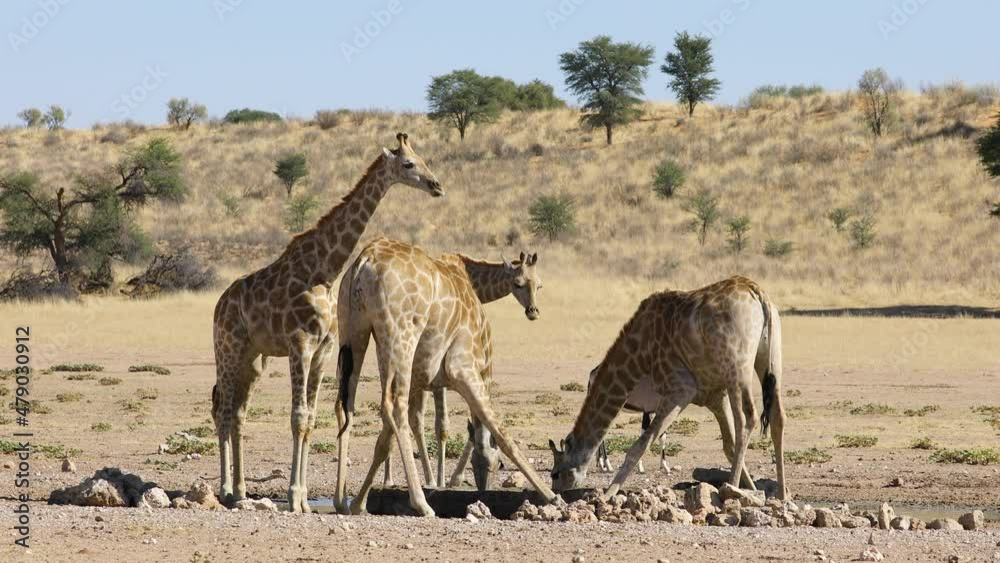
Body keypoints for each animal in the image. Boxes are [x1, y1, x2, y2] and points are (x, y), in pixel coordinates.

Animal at [211, 134, 442, 512]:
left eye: (424, 159)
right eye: (409, 164)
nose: (436, 185)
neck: (325, 270)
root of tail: (219, 304)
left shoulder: (322, 350)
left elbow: (310, 420)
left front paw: (304, 500)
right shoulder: (299, 345)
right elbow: (298, 417)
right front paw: (293, 497)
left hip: (253, 359)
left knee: (239, 413)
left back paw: (242, 490)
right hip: (226, 350)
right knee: (224, 410)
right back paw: (225, 490)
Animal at [334, 238, 556, 516]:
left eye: (539, 284)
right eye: (518, 283)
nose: (533, 311)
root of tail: (365, 259)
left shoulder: (423, 376)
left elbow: (384, 442)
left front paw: (360, 502)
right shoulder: (461, 367)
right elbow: (500, 432)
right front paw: (550, 495)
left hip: (353, 330)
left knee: (346, 404)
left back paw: (341, 500)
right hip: (401, 336)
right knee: (395, 406)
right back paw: (422, 503)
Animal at [548, 276, 788, 500]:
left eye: (555, 473)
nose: (556, 492)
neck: (639, 355)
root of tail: (757, 294)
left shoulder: (681, 389)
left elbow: (640, 445)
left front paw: (606, 496)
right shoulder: (714, 395)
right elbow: (728, 446)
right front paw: (756, 491)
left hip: (737, 368)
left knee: (747, 418)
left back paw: (731, 489)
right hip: (771, 358)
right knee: (777, 417)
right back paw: (782, 495)